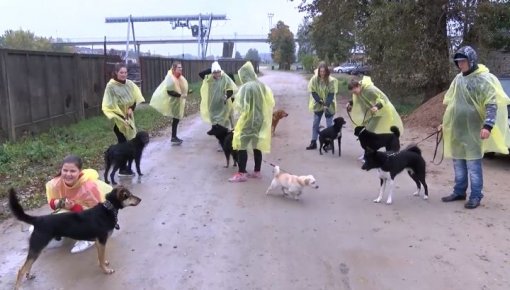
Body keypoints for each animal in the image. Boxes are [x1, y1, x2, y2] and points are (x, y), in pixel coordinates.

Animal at [7, 187, 142, 288]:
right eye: (128, 195)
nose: (140, 199)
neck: (108, 208)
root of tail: (38, 220)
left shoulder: (99, 243)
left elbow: (100, 257)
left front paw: (104, 264)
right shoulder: (102, 241)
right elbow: (101, 258)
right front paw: (106, 270)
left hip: (36, 249)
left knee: (27, 266)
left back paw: (29, 276)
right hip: (37, 246)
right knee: (21, 270)